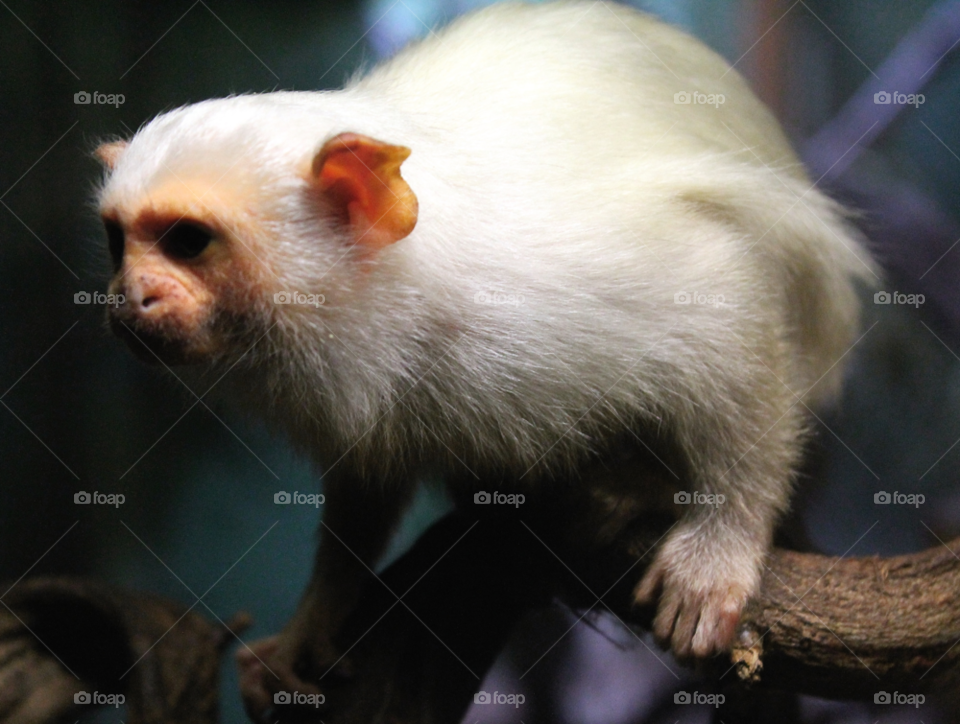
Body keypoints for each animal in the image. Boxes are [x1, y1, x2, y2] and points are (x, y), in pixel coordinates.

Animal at [94, 2, 872, 720]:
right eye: (117, 241)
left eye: (188, 240)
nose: (128, 297)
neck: (406, 295)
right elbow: (365, 486)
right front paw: (312, 626)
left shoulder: (553, 290)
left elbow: (721, 298)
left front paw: (719, 549)